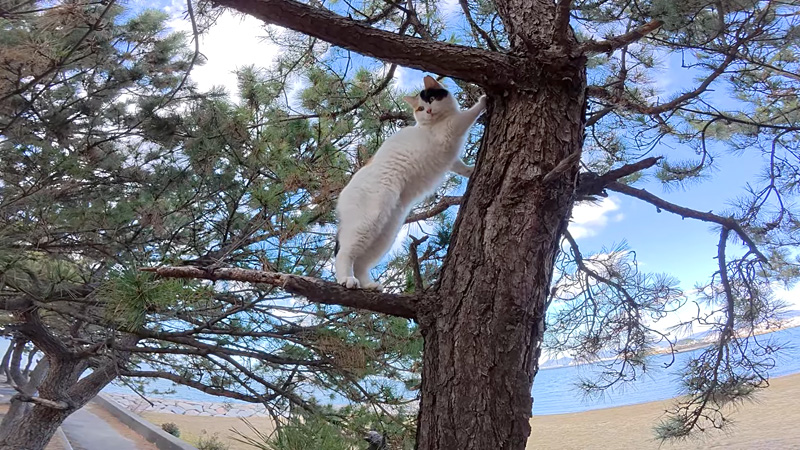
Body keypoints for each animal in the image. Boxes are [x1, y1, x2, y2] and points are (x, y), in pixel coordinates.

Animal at [332, 75, 484, 290]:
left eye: (430, 100)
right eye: (420, 108)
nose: (428, 111)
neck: (435, 122)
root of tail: (343, 193)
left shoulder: (451, 158)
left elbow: (460, 167)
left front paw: (470, 170)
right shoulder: (452, 127)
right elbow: (469, 115)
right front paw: (484, 101)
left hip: (384, 234)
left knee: (360, 262)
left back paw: (370, 286)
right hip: (367, 222)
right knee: (344, 254)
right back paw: (347, 280)